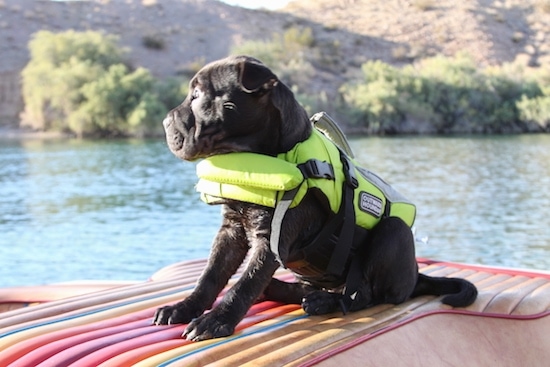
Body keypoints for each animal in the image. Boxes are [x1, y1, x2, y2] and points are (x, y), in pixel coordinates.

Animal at [155, 54, 478, 342]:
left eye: (198, 95)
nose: (164, 122)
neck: (266, 155)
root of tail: (415, 275)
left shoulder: (272, 238)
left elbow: (244, 284)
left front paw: (215, 321)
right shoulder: (231, 230)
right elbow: (210, 276)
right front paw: (183, 308)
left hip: (393, 232)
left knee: (364, 294)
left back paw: (325, 302)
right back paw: (285, 290)